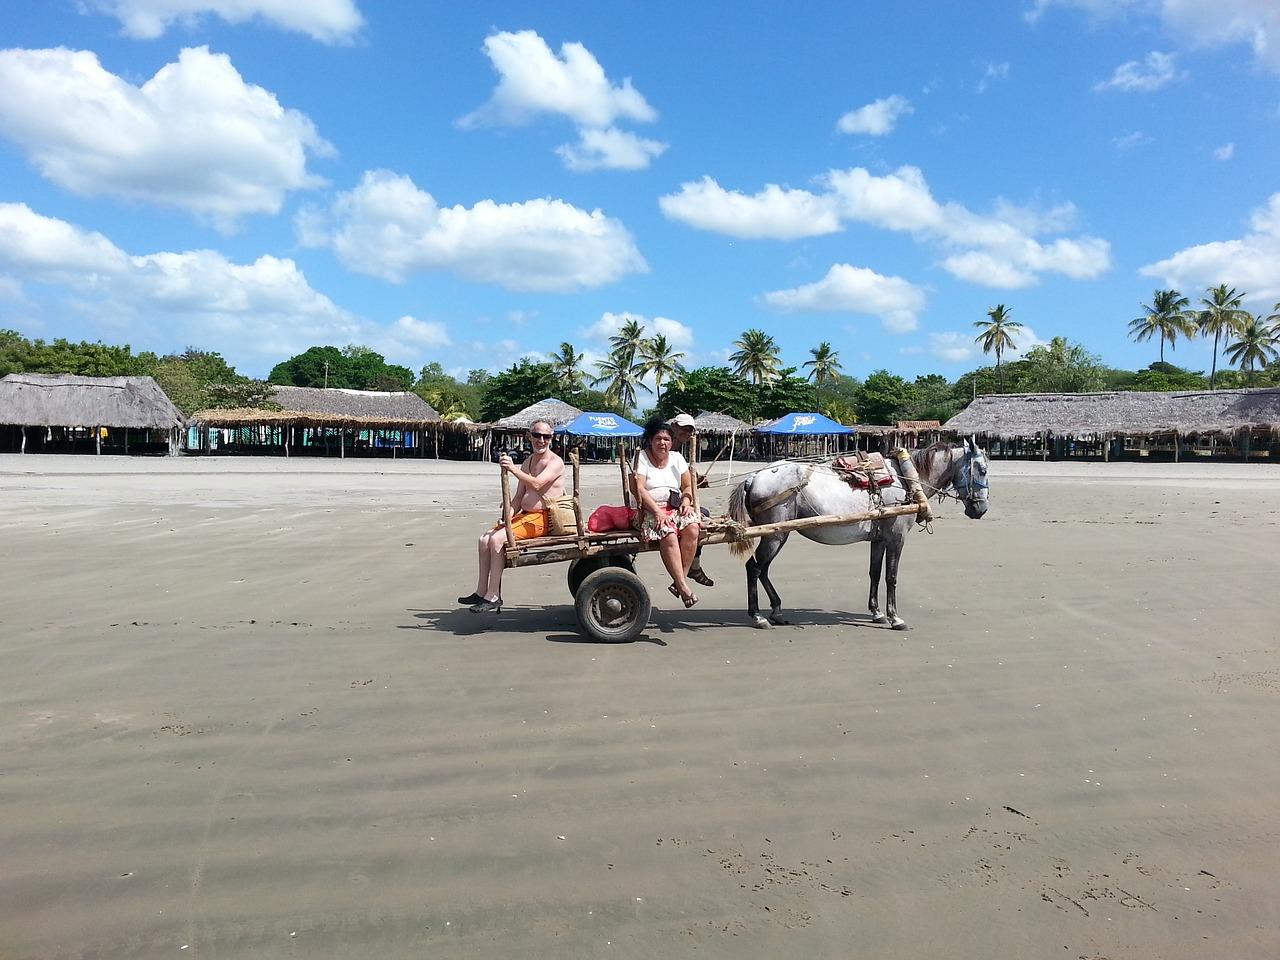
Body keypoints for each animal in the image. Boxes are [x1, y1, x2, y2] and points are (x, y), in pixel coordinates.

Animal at [732, 437, 988, 632]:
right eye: (983, 470)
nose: (982, 510)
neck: (907, 479)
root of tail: (754, 477)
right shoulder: (897, 538)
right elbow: (891, 577)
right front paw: (895, 618)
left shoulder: (879, 540)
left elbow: (875, 573)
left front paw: (877, 613)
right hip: (774, 535)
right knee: (754, 568)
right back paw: (758, 616)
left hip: (776, 535)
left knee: (762, 570)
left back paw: (776, 610)